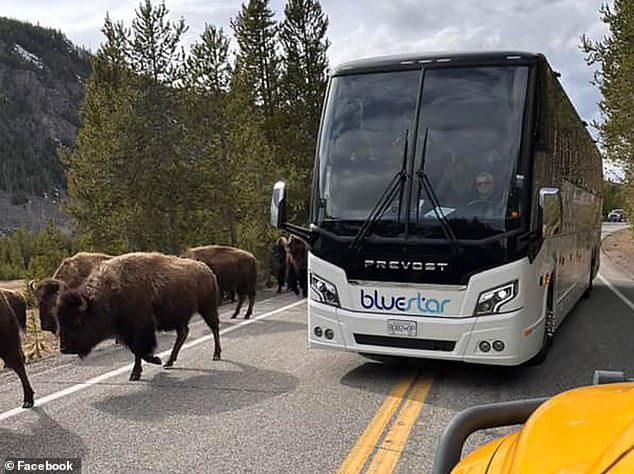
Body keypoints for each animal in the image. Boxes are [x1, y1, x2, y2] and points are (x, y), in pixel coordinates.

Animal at [55, 252, 222, 382]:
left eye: (77, 321)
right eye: (60, 321)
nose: (64, 348)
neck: (110, 293)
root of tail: (207, 270)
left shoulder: (141, 328)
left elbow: (139, 350)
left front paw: (152, 362)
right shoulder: (127, 333)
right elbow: (136, 351)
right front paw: (140, 371)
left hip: (207, 308)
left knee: (214, 328)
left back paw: (216, 355)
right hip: (180, 317)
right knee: (183, 333)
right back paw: (169, 361)